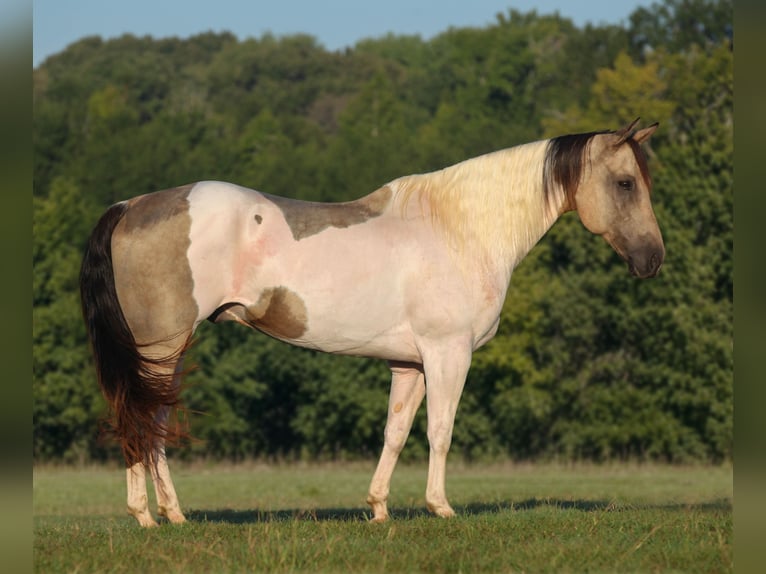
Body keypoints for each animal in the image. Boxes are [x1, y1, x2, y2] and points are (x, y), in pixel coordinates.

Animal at [79, 118, 664, 527]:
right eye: (625, 183)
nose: (653, 259)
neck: (460, 228)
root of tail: (130, 205)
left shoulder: (410, 364)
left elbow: (396, 432)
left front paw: (379, 508)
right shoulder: (448, 353)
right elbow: (441, 431)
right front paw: (441, 507)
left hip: (169, 353)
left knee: (153, 421)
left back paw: (173, 514)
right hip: (160, 349)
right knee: (139, 419)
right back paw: (146, 517)